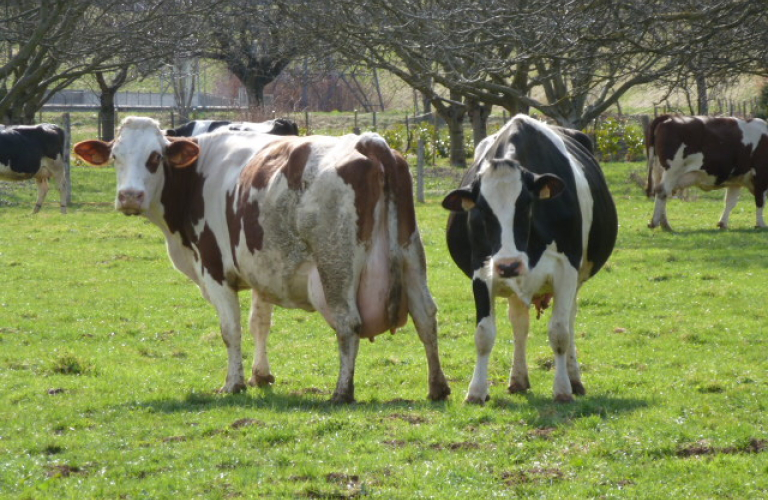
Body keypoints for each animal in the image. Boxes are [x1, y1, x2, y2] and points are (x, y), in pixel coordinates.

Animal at [73, 116, 450, 402]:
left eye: (155, 157)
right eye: (115, 157)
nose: (129, 196)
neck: (197, 173)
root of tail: (368, 142)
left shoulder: (215, 270)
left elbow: (231, 329)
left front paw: (233, 383)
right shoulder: (262, 268)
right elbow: (260, 323)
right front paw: (261, 375)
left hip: (335, 267)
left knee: (348, 324)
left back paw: (342, 392)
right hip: (411, 256)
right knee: (426, 317)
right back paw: (437, 387)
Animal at [440, 115, 616, 404]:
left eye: (526, 204)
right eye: (481, 209)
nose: (509, 264)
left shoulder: (566, 271)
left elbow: (559, 333)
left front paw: (562, 389)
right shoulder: (483, 271)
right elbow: (484, 334)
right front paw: (476, 391)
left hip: (575, 280)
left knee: (569, 322)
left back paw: (574, 379)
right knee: (519, 325)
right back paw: (519, 380)